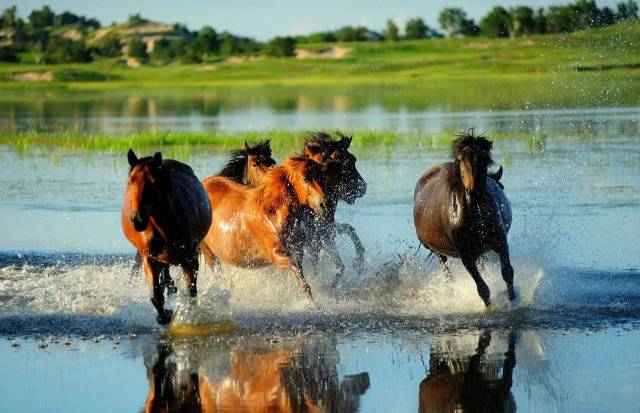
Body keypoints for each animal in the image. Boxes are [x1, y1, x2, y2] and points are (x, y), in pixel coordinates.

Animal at [124, 150, 214, 324]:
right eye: (131, 180)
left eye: (153, 183)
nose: (137, 220)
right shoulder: (149, 258)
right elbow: (156, 295)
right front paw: (164, 316)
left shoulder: (190, 259)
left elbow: (191, 292)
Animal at [200, 156, 330, 298]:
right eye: (306, 178)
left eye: (322, 177)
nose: (324, 205)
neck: (273, 215)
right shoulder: (276, 255)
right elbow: (298, 273)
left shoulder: (297, 252)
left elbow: (299, 272)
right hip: (208, 253)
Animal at [298, 132, 364, 284]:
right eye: (345, 164)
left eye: (354, 159)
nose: (363, 187)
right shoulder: (315, 242)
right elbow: (338, 267)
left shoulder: (327, 232)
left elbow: (349, 229)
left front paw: (358, 262)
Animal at [412, 131, 512, 306]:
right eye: (460, 159)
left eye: (484, 159)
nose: (473, 191)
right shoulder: (466, 256)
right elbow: (482, 289)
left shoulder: (500, 242)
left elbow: (507, 272)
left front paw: (514, 298)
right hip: (439, 253)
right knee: (447, 275)